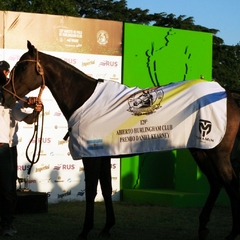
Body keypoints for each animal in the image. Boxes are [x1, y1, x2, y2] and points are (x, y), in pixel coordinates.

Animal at [1, 40, 240, 239]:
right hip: (201, 150)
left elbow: (91, 191)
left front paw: (85, 231)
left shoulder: (91, 156)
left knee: (230, 183)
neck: (83, 98)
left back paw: (232, 233)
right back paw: (203, 226)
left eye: (23, 68)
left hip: (217, 152)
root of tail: (227, 94)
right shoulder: (103, 155)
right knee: (216, 183)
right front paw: (107, 227)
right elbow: (106, 190)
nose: (5, 96)